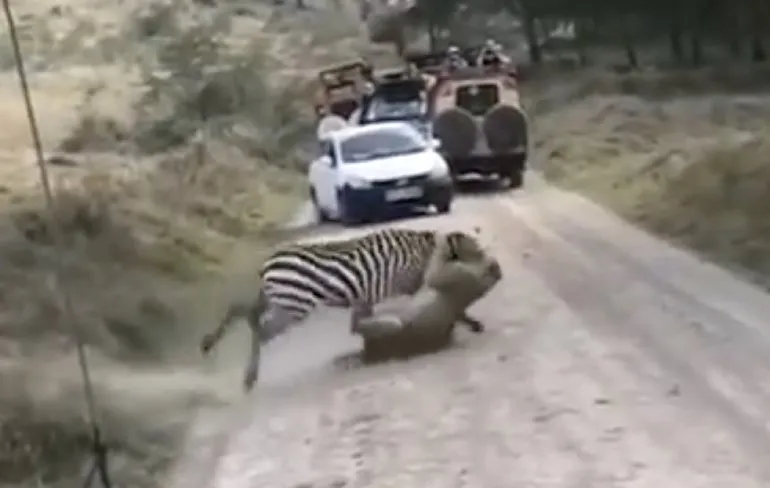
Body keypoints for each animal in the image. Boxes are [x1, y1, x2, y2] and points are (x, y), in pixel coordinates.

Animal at [199, 227, 486, 392]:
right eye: (477, 251)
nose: (491, 263)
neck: (424, 250)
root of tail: (268, 264)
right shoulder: (407, 286)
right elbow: (446, 306)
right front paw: (472, 324)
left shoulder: (366, 295)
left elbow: (361, 322)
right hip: (293, 306)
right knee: (260, 328)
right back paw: (249, 378)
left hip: (279, 298)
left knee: (244, 312)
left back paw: (213, 346)